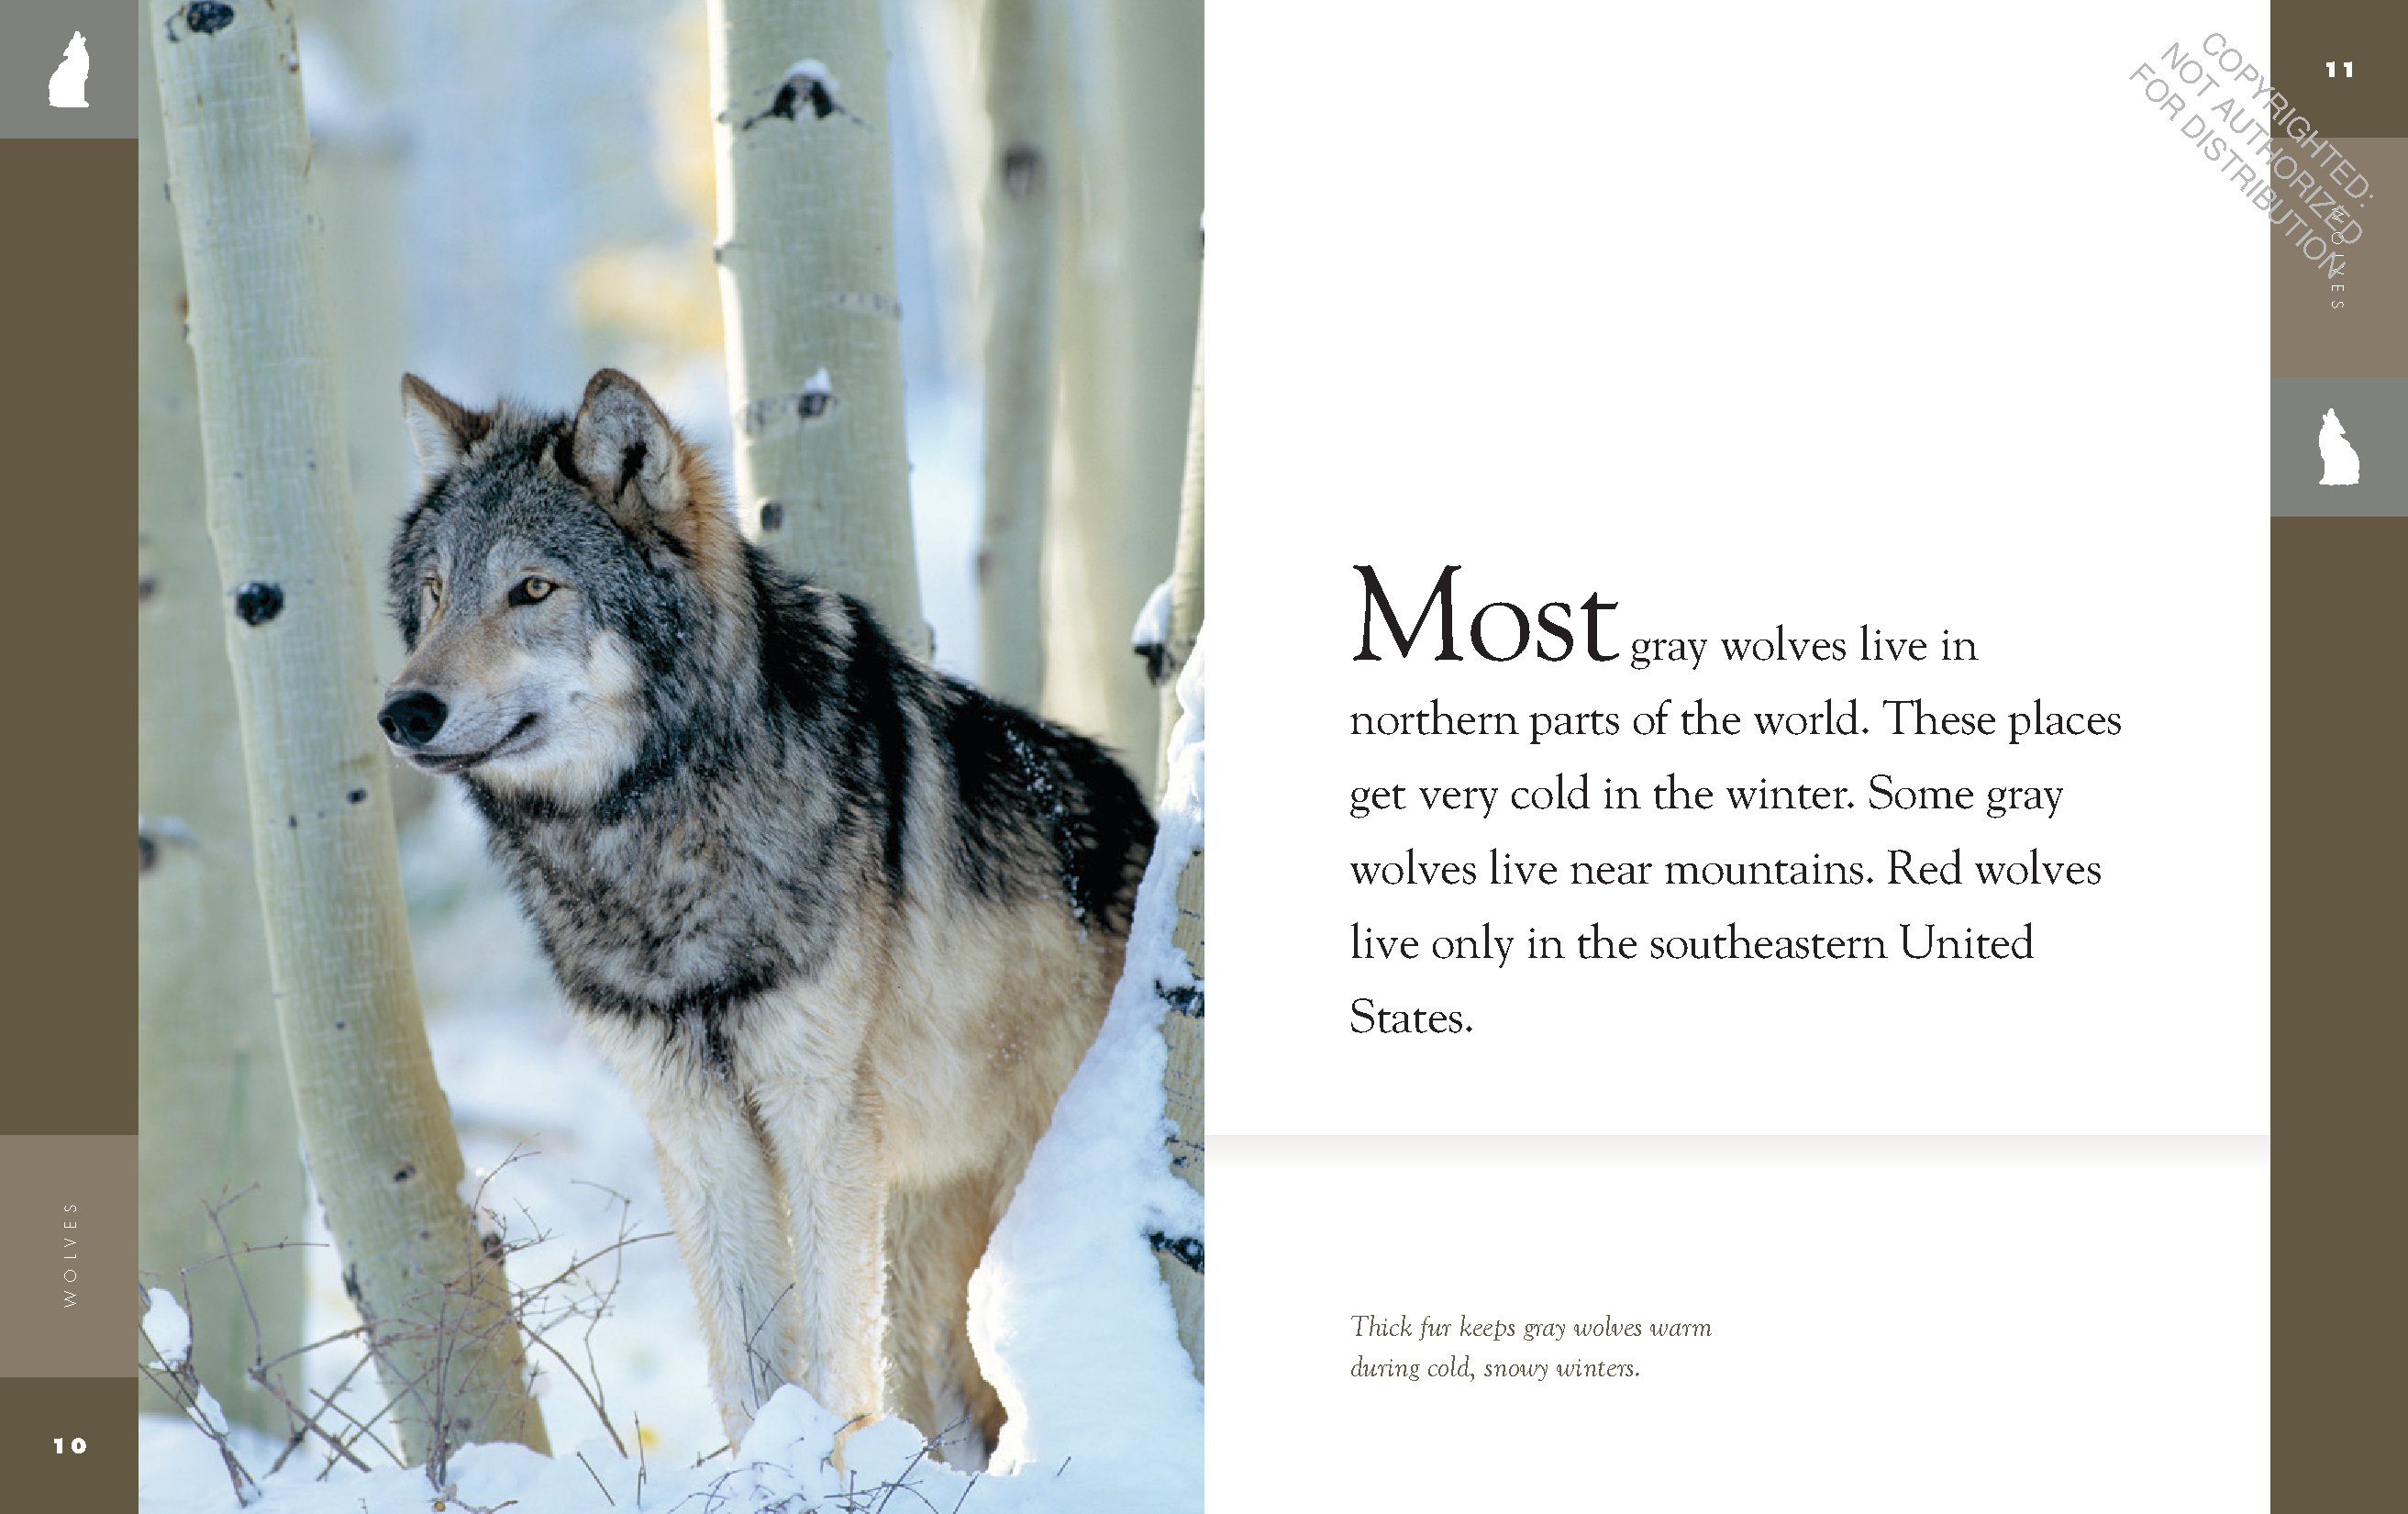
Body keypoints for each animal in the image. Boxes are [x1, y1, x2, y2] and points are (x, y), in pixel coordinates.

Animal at [378, 369, 1154, 1464]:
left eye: (533, 590)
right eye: (439, 595)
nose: (403, 713)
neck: (651, 840)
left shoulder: (818, 1113)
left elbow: (830, 1357)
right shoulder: (693, 1124)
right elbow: (746, 1361)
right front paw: (768, 1469)